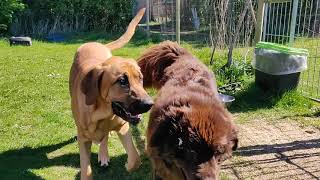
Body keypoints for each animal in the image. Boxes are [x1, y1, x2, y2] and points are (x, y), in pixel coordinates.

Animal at [69, 8, 152, 180]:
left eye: (140, 78)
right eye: (122, 81)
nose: (149, 104)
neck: (101, 113)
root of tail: (97, 43)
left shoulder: (123, 126)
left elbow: (135, 159)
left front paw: (128, 165)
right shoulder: (83, 139)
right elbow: (86, 170)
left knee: (105, 136)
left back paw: (103, 154)